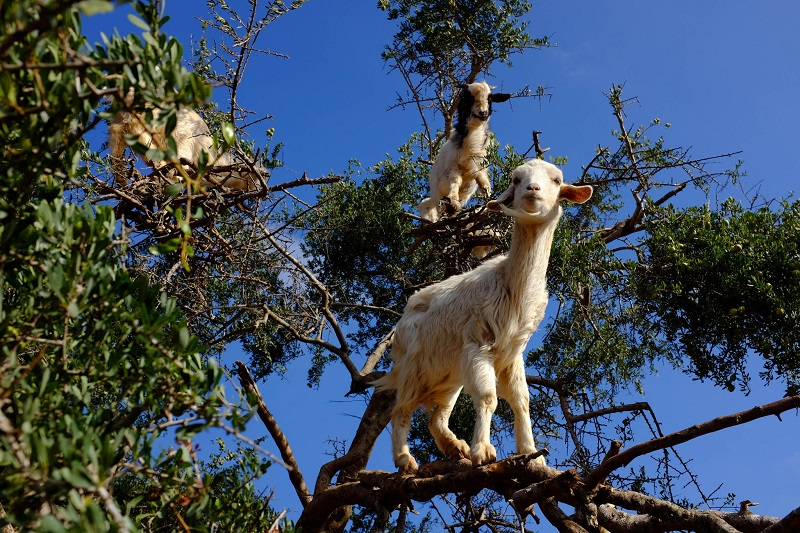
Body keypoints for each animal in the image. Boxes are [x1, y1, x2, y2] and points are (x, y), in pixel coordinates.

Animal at [372, 159, 592, 474]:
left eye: (556, 180)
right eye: (516, 179)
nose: (532, 189)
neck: (513, 286)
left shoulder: (512, 355)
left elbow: (522, 401)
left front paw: (532, 453)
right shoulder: (479, 346)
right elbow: (488, 398)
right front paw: (483, 452)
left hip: (450, 373)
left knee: (437, 415)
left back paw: (455, 447)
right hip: (415, 368)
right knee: (401, 410)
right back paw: (405, 459)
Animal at [418, 80, 512, 220]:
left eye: (490, 98)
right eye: (468, 97)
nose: (483, 113)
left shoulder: (480, 163)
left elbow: (480, 177)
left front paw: (488, 193)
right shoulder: (453, 166)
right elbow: (456, 181)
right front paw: (454, 201)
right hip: (437, 196)